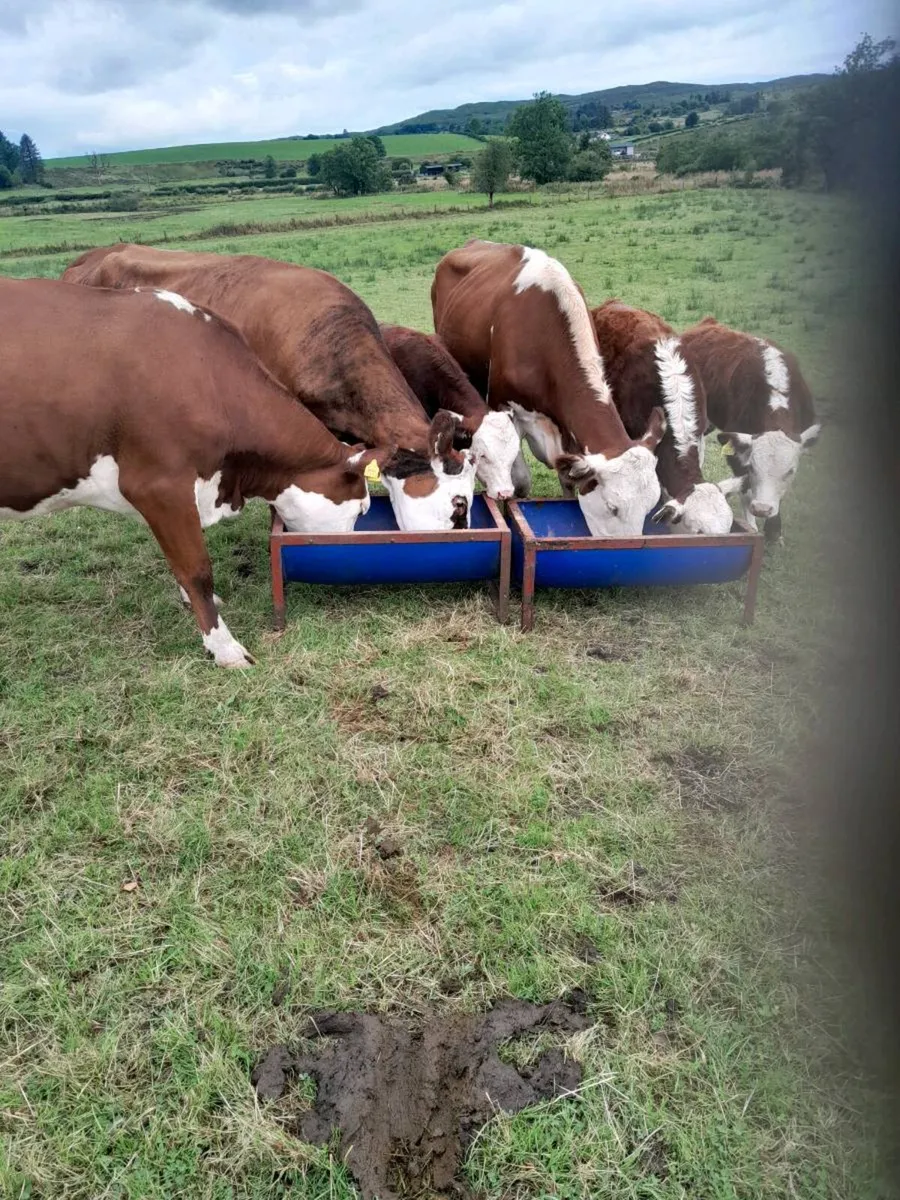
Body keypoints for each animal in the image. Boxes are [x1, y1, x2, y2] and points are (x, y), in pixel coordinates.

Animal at [680, 317, 821, 541]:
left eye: (790, 471)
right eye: (752, 468)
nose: (762, 509)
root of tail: (707, 322)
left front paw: (773, 530)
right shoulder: (737, 450)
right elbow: (745, 490)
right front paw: (753, 527)